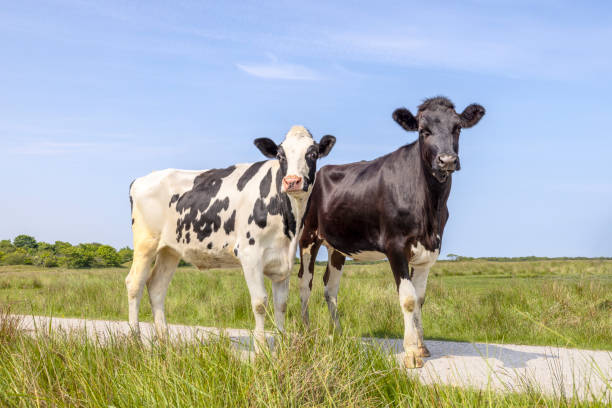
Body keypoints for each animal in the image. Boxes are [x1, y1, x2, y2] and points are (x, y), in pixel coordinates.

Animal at [125, 125, 334, 350]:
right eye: (280, 155)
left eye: (312, 154)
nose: (292, 181)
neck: (289, 220)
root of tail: (141, 179)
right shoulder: (250, 254)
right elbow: (260, 303)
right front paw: (261, 349)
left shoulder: (283, 261)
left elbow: (281, 304)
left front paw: (280, 347)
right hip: (146, 243)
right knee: (134, 284)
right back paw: (135, 341)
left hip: (169, 250)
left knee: (156, 287)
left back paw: (165, 342)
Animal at [298, 97, 486, 368]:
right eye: (423, 131)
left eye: (457, 127)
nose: (447, 160)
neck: (431, 207)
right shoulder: (395, 246)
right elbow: (408, 299)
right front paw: (411, 352)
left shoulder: (429, 251)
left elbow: (420, 299)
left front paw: (422, 346)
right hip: (307, 237)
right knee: (305, 283)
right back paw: (305, 335)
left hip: (337, 246)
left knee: (329, 287)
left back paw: (338, 334)